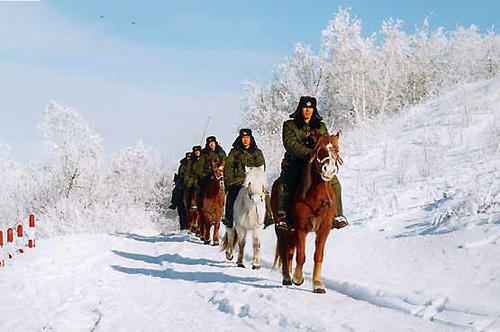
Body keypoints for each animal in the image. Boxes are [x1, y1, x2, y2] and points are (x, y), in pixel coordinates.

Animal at [270, 132, 344, 294]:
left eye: (336, 149)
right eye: (319, 149)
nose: (328, 170)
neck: (316, 196)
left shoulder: (324, 230)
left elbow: (318, 256)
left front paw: (317, 284)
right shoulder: (301, 229)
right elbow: (301, 256)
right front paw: (298, 278)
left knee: (289, 252)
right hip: (281, 229)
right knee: (284, 252)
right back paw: (287, 277)